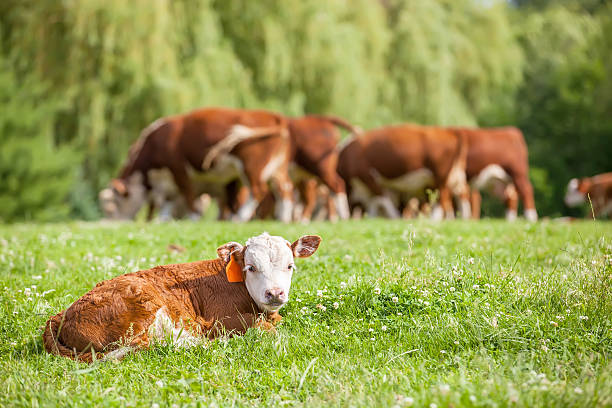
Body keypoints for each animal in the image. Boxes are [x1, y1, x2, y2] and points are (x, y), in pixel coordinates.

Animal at [42, 231, 320, 362]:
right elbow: (265, 327)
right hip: (141, 311)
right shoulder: (216, 321)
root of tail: (59, 315)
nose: (274, 293)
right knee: (146, 346)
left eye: (290, 266)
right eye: (251, 267)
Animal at [99, 107, 296, 223]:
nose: (113, 223)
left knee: (257, 190)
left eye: (112, 206)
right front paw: (162, 219)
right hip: (278, 168)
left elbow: (187, 194)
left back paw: (240, 217)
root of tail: (274, 116)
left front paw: (193, 217)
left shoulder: (178, 169)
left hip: (252, 167)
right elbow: (170, 200)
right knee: (284, 189)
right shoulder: (169, 179)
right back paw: (284, 218)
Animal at [338, 124, 470, 220]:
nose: (349, 216)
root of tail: (451, 132)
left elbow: (382, 199)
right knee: (462, 194)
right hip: (454, 176)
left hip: (441, 177)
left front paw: (394, 217)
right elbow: (376, 203)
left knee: (442, 198)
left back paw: (434, 219)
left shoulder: (367, 176)